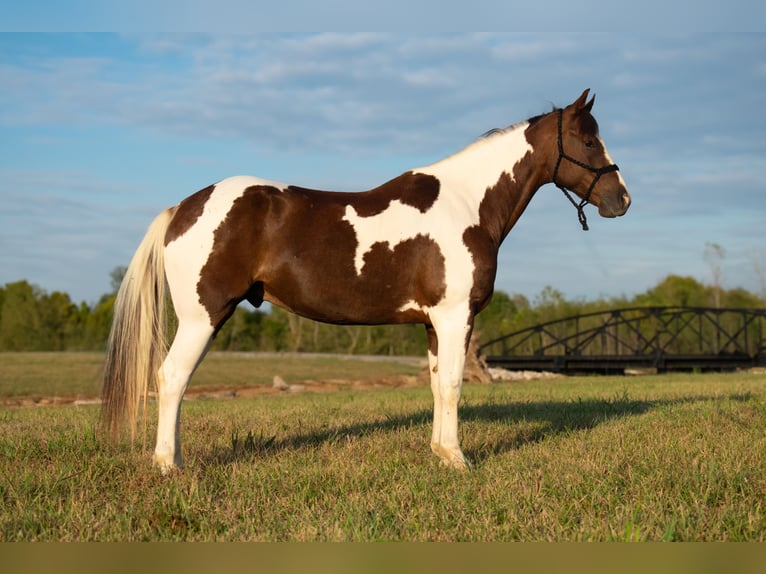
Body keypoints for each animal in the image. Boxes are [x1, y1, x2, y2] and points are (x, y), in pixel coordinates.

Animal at [100, 88, 632, 470]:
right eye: (589, 141)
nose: (621, 199)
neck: (467, 205)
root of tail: (184, 207)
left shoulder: (433, 322)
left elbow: (437, 385)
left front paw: (441, 454)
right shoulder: (455, 316)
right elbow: (454, 384)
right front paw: (460, 460)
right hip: (202, 316)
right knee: (172, 378)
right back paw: (168, 465)